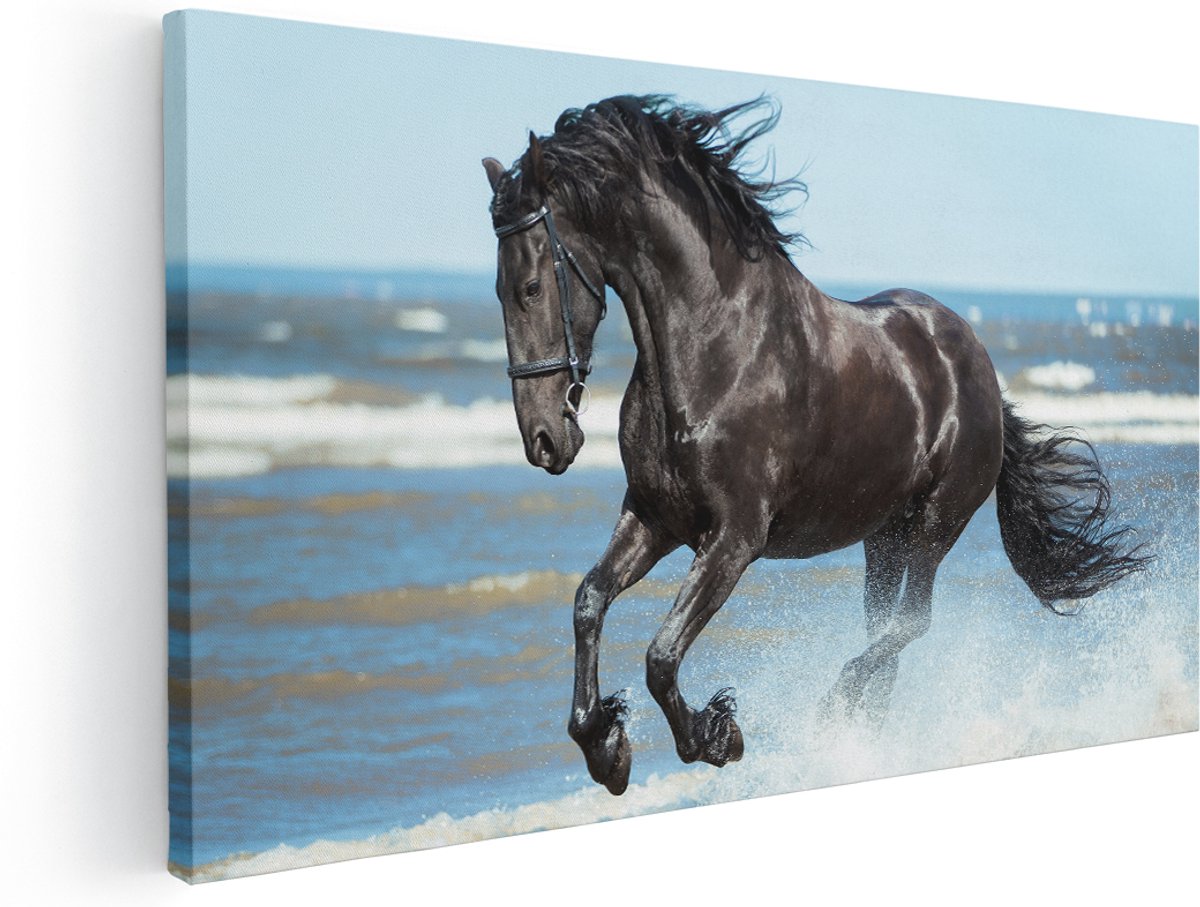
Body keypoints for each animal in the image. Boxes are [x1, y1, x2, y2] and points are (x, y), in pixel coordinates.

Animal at [481, 95, 1149, 796]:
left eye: (531, 287)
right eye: (498, 290)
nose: (544, 441)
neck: (713, 349)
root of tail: (983, 369)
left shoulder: (735, 538)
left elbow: (661, 655)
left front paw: (716, 735)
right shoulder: (655, 517)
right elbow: (588, 601)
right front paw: (605, 746)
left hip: (937, 521)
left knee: (909, 623)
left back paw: (834, 710)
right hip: (885, 534)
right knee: (886, 629)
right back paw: (860, 732)